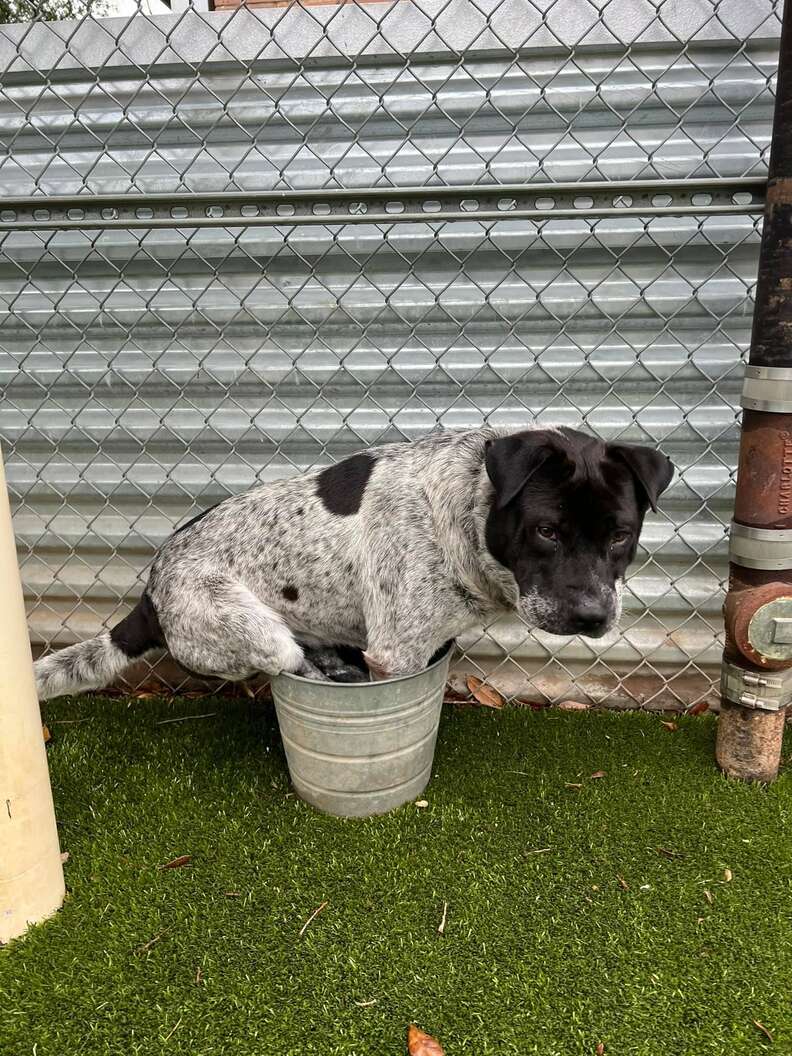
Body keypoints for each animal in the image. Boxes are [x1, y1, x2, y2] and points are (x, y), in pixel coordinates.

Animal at [32, 424, 675, 696]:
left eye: (621, 536)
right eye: (546, 531)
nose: (592, 616)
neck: (459, 515)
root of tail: (149, 594)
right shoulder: (395, 656)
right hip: (253, 631)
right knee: (285, 662)